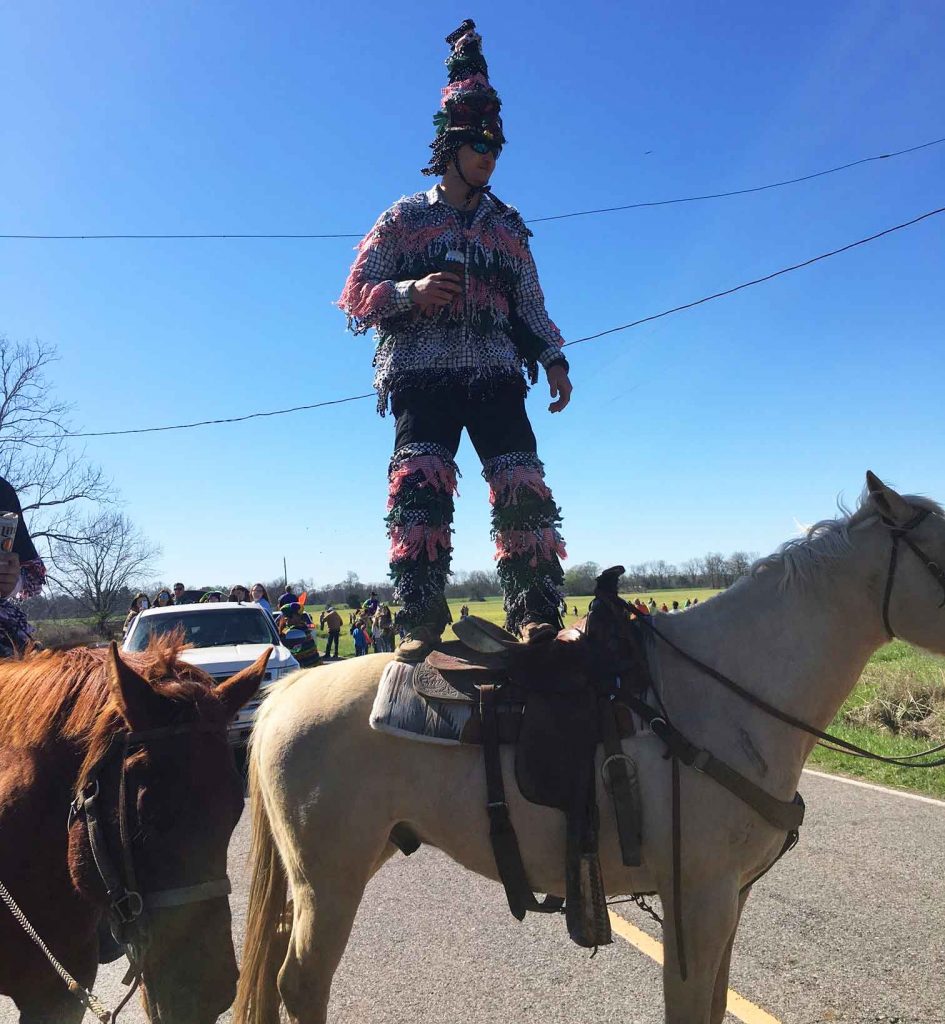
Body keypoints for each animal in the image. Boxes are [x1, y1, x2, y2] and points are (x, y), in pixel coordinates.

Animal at [232, 475, 945, 1019]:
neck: (719, 692)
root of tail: (288, 692)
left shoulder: (730, 900)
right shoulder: (700, 900)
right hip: (328, 882)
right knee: (299, 985)